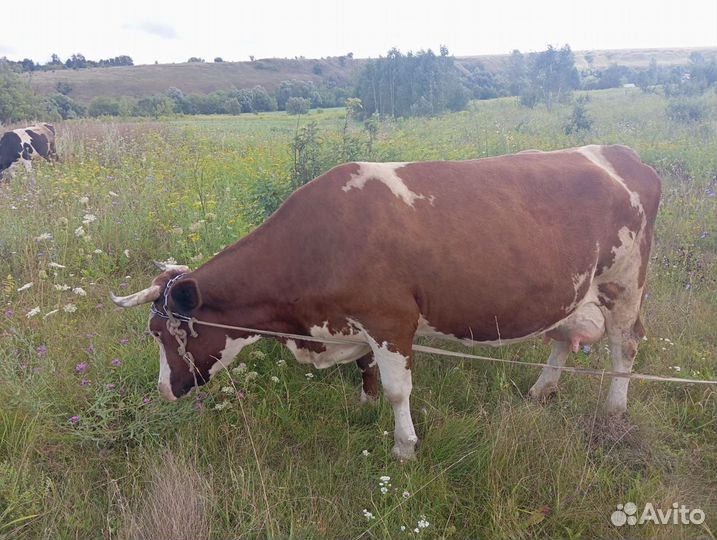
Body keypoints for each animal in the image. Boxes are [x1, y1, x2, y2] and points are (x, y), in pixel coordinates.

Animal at [112, 143, 660, 460]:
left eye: (163, 333)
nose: (165, 390)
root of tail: (621, 154)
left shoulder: (392, 321)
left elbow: (400, 390)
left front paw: (404, 446)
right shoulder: (355, 324)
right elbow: (367, 369)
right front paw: (365, 402)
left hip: (624, 283)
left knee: (626, 344)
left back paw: (615, 410)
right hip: (574, 289)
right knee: (566, 336)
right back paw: (541, 390)